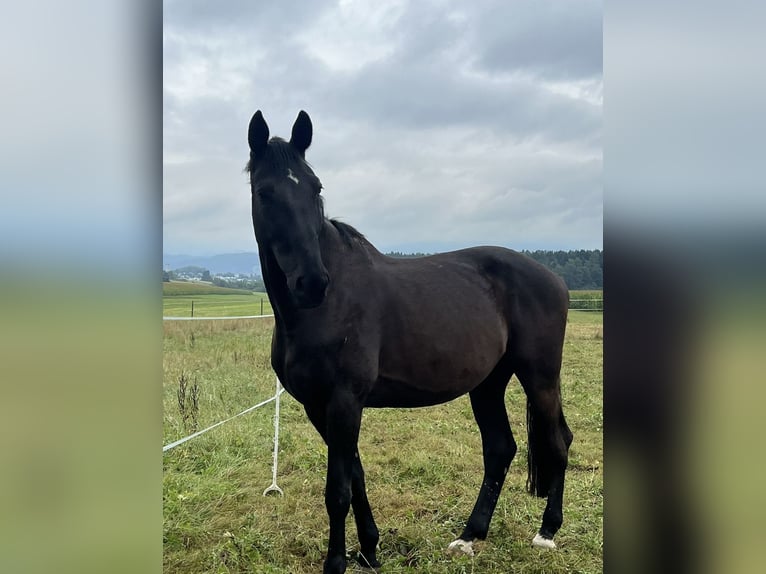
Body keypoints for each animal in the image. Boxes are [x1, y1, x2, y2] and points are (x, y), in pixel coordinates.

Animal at [246, 110, 573, 574]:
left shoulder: (344, 400)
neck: (327, 307)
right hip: (488, 383)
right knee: (500, 448)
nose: (312, 283)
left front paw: (337, 562)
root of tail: (553, 278)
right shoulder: (318, 406)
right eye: (265, 191)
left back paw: (546, 533)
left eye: (316, 187)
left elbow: (337, 491)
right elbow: (356, 478)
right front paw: (368, 550)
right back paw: (469, 537)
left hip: (540, 377)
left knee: (558, 442)